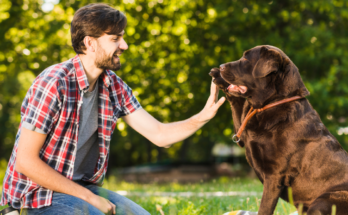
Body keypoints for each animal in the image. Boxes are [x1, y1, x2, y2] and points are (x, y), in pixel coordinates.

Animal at [211, 45, 348, 213]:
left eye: (246, 59)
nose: (221, 66)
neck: (273, 102)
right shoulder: (243, 134)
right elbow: (237, 103)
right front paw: (218, 76)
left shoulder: (274, 175)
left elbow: (264, 209)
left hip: (326, 199)